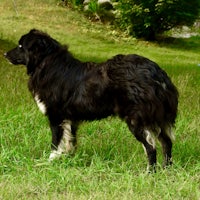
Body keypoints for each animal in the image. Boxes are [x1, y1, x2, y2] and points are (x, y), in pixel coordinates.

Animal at [4, 29, 178, 170]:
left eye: (21, 46)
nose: (5, 54)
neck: (47, 63)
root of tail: (157, 73)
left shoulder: (56, 115)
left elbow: (56, 142)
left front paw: (49, 162)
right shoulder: (70, 118)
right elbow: (70, 141)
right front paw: (68, 160)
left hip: (137, 119)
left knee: (151, 147)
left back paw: (150, 172)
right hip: (157, 118)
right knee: (167, 143)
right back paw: (166, 170)